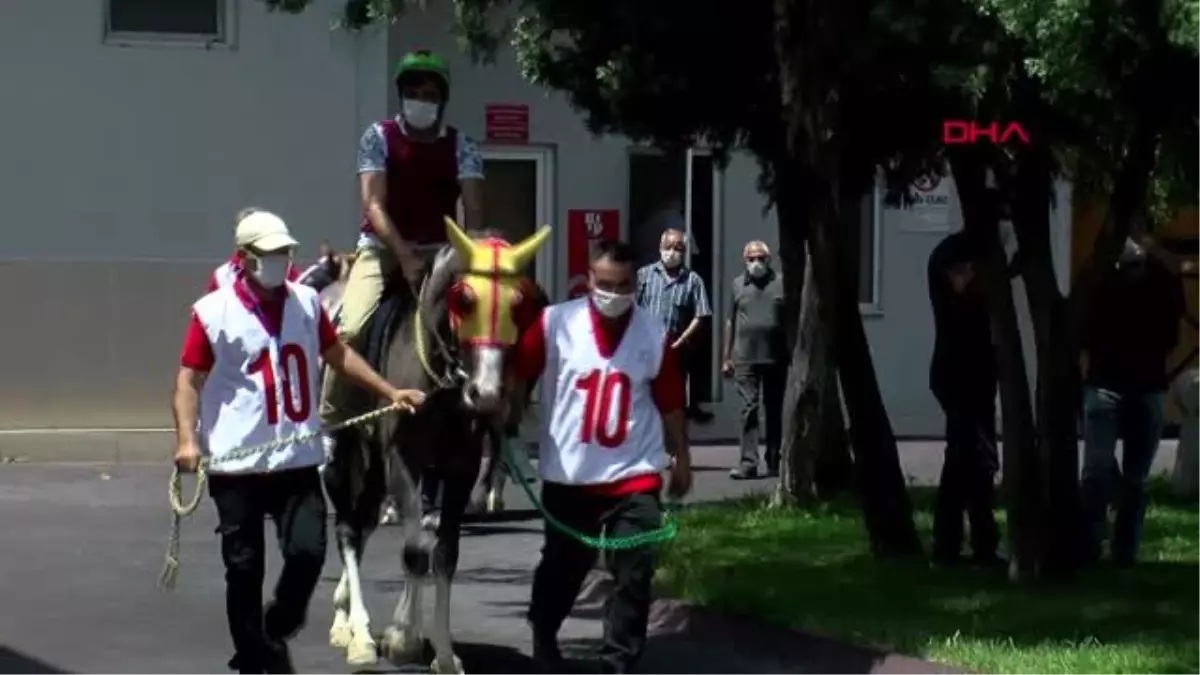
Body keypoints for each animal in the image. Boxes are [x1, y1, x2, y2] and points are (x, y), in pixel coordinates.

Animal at [321, 218, 549, 667]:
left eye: (519, 303)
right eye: (464, 299)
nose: (486, 393)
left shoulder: (460, 466)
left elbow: (444, 555)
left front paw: (442, 654)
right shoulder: (402, 459)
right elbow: (414, 552)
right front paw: (403, 640)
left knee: (364, 523)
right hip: (350, 449)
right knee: (349, 530)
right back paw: (354, 631)